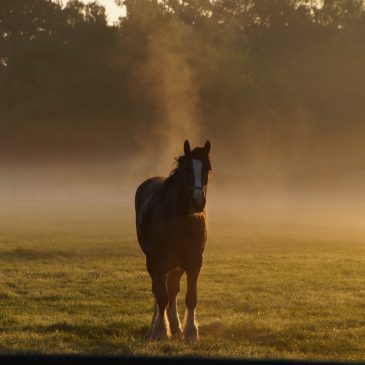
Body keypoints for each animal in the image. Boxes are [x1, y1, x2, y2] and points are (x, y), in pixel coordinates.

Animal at [135, 139, 212, 338]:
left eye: (208, 168)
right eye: (186, 169)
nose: (198, 202)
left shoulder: (194, 262)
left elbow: (190, 296)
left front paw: (190, 331)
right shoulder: (158, 262)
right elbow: (161, 295)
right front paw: (160, 329)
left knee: (173, 289)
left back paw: (176, 325)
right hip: (153, 262)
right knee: (158, 290)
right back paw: (156, 324)